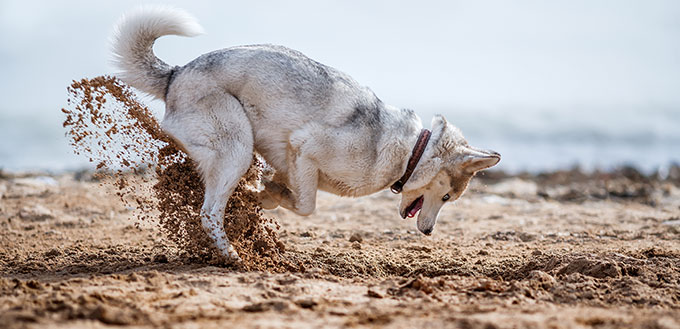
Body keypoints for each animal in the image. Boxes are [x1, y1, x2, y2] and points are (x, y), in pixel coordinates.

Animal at [113, 5, 500, 262]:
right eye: (447, 197)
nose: (429, 232)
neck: (410, 152)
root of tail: (176, 74)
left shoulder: (291, 162)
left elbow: (287, 194)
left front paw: (263, 194)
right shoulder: (304, 147)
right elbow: (306, 206)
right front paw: (264, 196)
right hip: (237, 147)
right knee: (208, 213)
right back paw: (232, 255)